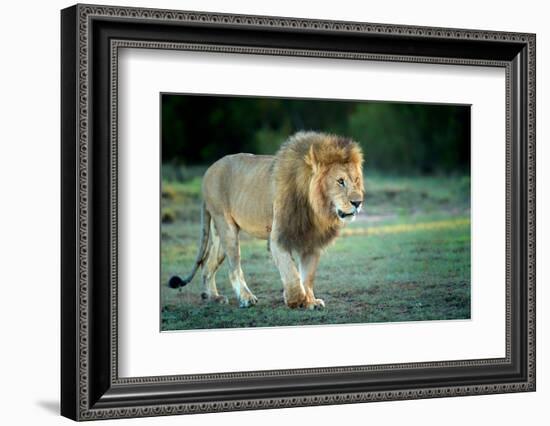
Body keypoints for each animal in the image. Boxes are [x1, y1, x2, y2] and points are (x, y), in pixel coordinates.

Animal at [170, 131, 364, 310]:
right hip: (226, 227)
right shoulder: (278, 237)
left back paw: (213, 297)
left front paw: (311, 301)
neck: (316, 209)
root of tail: (208, 171)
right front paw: (297, 300)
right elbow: (291, 271)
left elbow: (307, 276)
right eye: (340, 181)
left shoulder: (312, 241)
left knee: (207, 265)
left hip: (218, 234)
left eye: (356, 180)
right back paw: (246, 298)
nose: (358, 202)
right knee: (234, 268)